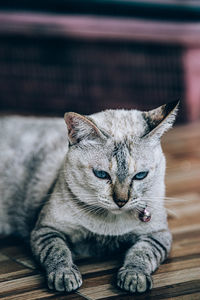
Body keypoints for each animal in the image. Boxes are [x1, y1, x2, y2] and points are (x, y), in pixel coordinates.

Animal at [0, 102, 178, 294]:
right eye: (101, 174)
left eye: (140, 176)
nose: (121, 201)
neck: (108, 227)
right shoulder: (46, 229)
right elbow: (58, 251)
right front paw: (65, 276)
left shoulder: (157, 235)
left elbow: (141, 254)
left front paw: (134, 277)